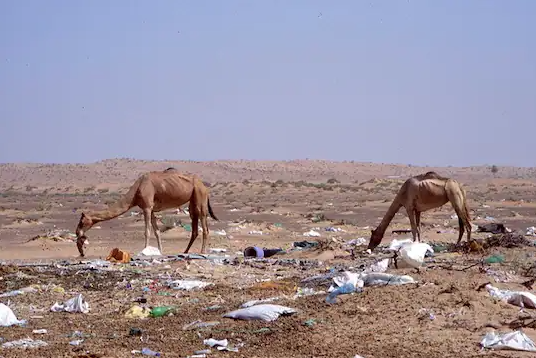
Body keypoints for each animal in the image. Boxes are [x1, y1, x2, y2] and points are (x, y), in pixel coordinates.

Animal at [74, 171, 219, 258]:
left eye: (81, 222)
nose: (77, 232)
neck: (136, 190)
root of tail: (204, 186)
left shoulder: (147, 208)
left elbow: (147, 231)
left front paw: (144, 251)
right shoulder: (152, 209)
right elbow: (157, 231)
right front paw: (160, 251)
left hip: (200, 197)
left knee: (204, 224)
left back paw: (202, 252)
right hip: (193, 201)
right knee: (195, 227)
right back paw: (185, 251)